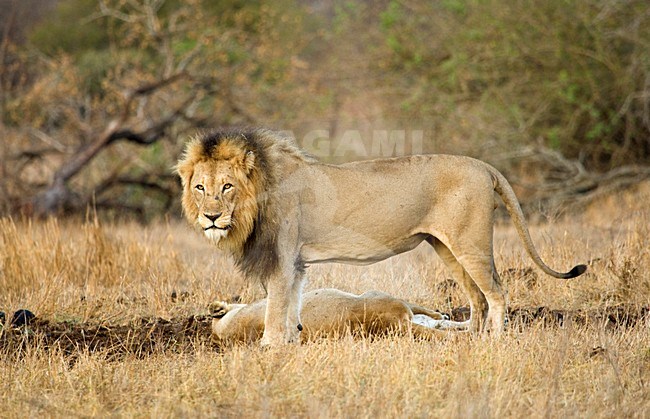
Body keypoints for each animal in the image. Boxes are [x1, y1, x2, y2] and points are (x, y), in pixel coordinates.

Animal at [175, 130, 584, 346]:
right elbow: (290, 307)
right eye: (200, 187)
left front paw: (271, 349)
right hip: (446, 246)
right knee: (477, 298)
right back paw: (468, 337)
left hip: (471, 244)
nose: (211, 217)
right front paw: (291, 344)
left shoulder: (281, 259)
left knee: (497, 293)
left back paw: (493, 343)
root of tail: (484, 166)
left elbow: (275, 311)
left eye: (226, 186)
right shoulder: (296, 264)